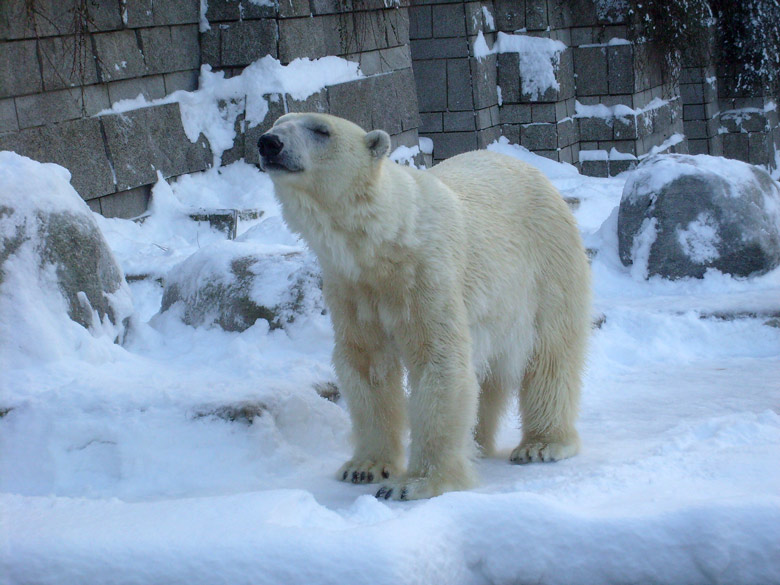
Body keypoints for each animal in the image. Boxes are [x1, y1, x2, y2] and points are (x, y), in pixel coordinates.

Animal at [258, 113, 588, 498]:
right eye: (277, 122)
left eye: (320, 130)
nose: (269, 143)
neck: (383, 242)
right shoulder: (352, 288)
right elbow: (366, 366)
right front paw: (364, 468)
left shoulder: (425, 275)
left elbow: (438, 360)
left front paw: (415, 484)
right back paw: (477, 443)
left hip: (547, 265)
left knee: (551, 352)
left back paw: (541, 445)